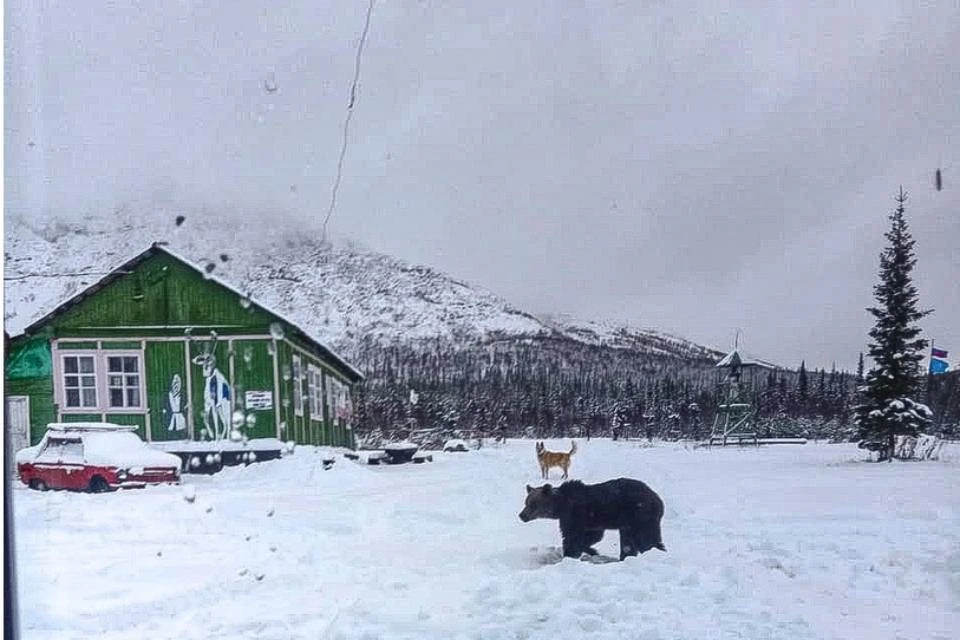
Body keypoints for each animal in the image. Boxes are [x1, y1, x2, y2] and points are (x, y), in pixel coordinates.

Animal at [516, 476, 668, 560]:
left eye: (533, 504)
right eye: (526, 502)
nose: (522, 515)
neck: (561, 505)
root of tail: (658, 499)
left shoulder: (575, 515)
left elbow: (572, 537)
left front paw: (571, 553)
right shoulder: (591, 522)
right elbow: (592, 536)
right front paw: (591, 550)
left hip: (639, 514)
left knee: (645, 538)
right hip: (628, 522)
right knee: (629, 541)